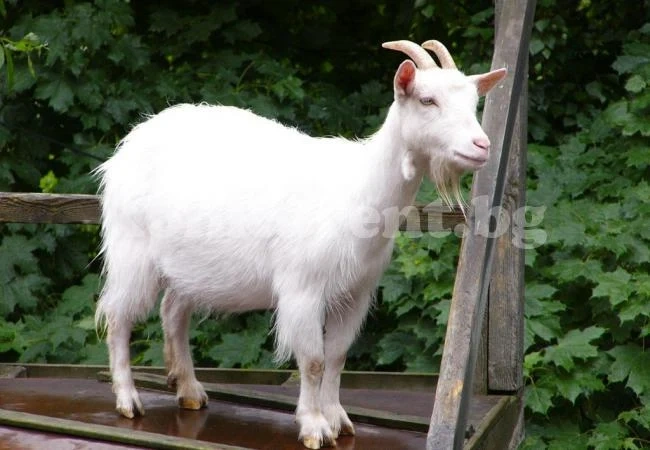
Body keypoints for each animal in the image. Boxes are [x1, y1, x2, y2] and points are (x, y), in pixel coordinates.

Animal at [95, 39, 506, 449]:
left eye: (474, 103)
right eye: (426, 99)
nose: (481, 145)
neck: (359, 189)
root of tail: (131, 142)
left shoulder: (356, 292)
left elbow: (337, 356)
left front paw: (337, 418)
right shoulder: (303, 288)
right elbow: (313, 360)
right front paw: (314, 426)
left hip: (190, 266)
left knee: (173, 313)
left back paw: (190, 390)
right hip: (132, 250)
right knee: (117, 316)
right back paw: (128, 399)